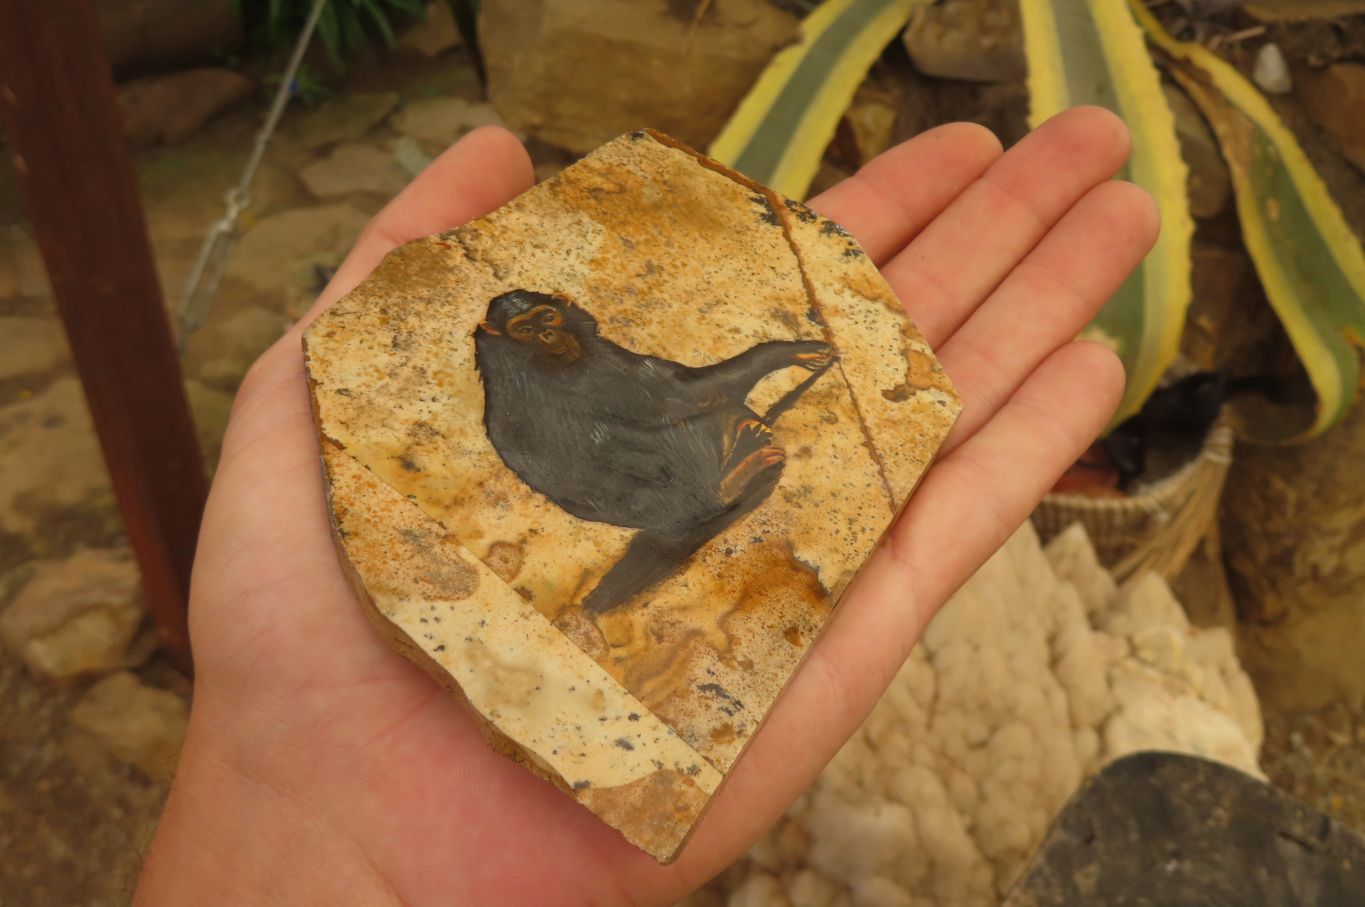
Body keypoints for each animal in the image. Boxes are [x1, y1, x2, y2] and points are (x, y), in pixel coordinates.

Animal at [474, 289, 835, 615]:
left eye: (547, 317)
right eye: (524, 329)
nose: (547, 333)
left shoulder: (606, 353)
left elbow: (670, 385)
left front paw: (790, 353)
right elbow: (669, 399)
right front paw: (776, 355)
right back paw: (733, 476)